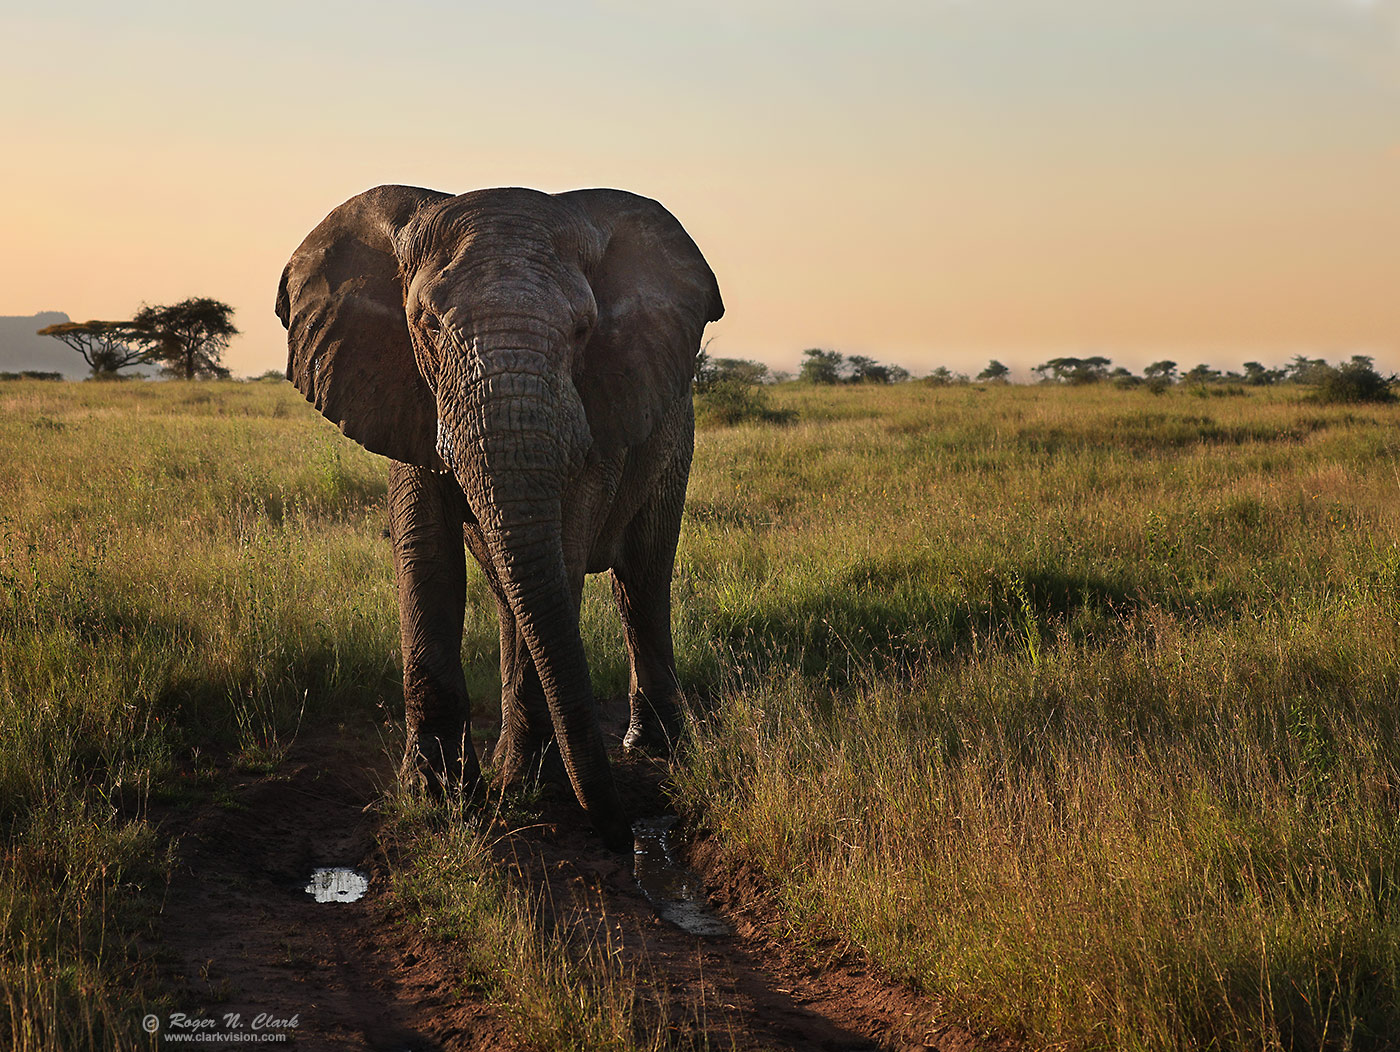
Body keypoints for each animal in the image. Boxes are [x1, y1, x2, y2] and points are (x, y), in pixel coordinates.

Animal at [278, 187, 728, 846]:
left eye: (584, 329)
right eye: (427, 325)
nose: (628, 832)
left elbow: (564, 549)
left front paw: (525, 793)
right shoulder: (406, 394)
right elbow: (426, 555)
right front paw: (437, 795)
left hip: (675, 437)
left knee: (640, 579)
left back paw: (653, 752)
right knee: (513, 588)